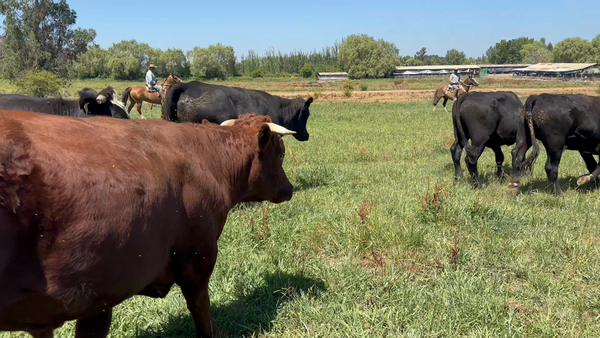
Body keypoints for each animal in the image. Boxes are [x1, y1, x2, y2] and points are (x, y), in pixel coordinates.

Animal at [0, 109, 296, 336]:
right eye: (280, 153)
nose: (289, 189)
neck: (207, 162)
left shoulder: (100, 292)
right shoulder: (198, 255)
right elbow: (200, 307)